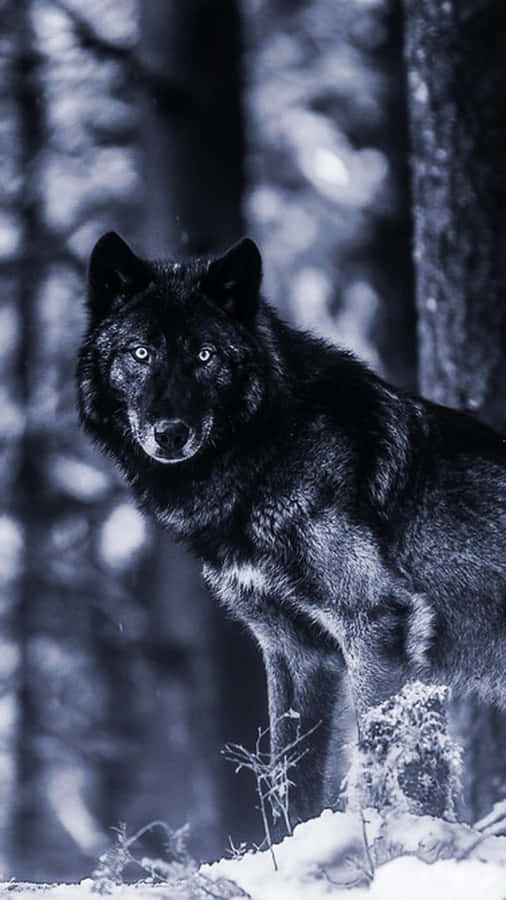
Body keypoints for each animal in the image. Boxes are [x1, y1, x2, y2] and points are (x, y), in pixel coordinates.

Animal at [77, 232, 506, 823]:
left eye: (205, 355)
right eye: (141, 353)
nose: (170, 433)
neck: (268, 449)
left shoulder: (376, 624)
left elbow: (389, 761)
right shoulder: (292, 650)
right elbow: (287, 781)